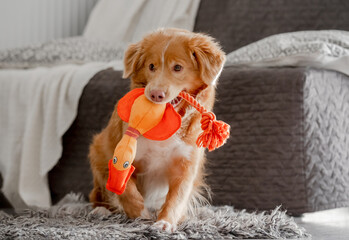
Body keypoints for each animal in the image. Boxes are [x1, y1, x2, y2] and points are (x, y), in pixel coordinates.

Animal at [88, 28, 226, 232]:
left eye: (178, 67)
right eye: (151, 66)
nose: (155, 94)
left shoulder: (186, 165)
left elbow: (177, 197)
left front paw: (165, 222)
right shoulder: (122, 151)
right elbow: (126, 187)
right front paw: (140, 213)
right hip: (97, 150)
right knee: (97, 193)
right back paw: (101, 210)